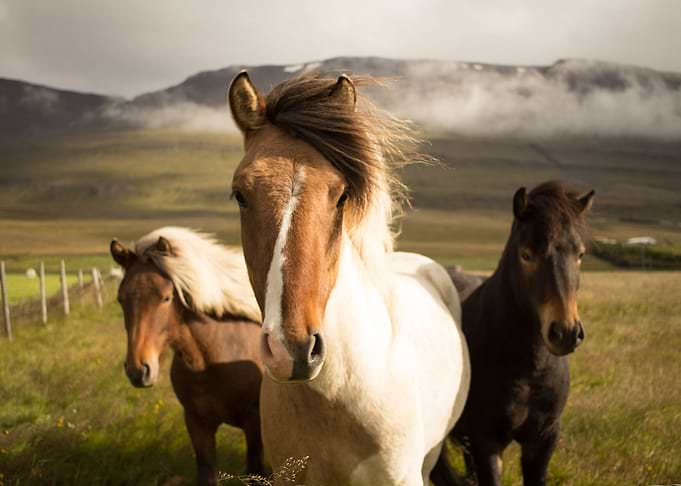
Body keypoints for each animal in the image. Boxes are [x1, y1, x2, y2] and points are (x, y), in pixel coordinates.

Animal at [110, 227, 265, 485]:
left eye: (166, 297)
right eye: (121, 299)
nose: (138, 370)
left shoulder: (254, 424)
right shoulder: (197, 424)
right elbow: (207, 473)